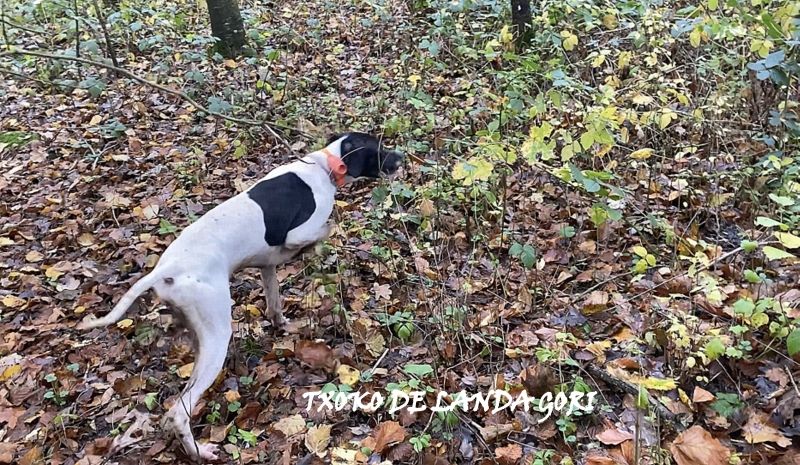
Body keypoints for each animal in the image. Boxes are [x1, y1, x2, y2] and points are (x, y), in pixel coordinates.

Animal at [77, 132, 404, 458]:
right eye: (378, 148)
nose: (401, 157)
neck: (323, 167)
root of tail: (168, 268)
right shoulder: (298, 233)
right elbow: (327, 227)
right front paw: (317, 245)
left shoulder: (267, 266)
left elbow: (274, 306)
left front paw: (284, 325)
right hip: (217, 335)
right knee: (178, 412)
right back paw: (200, 452)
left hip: (197, 335)